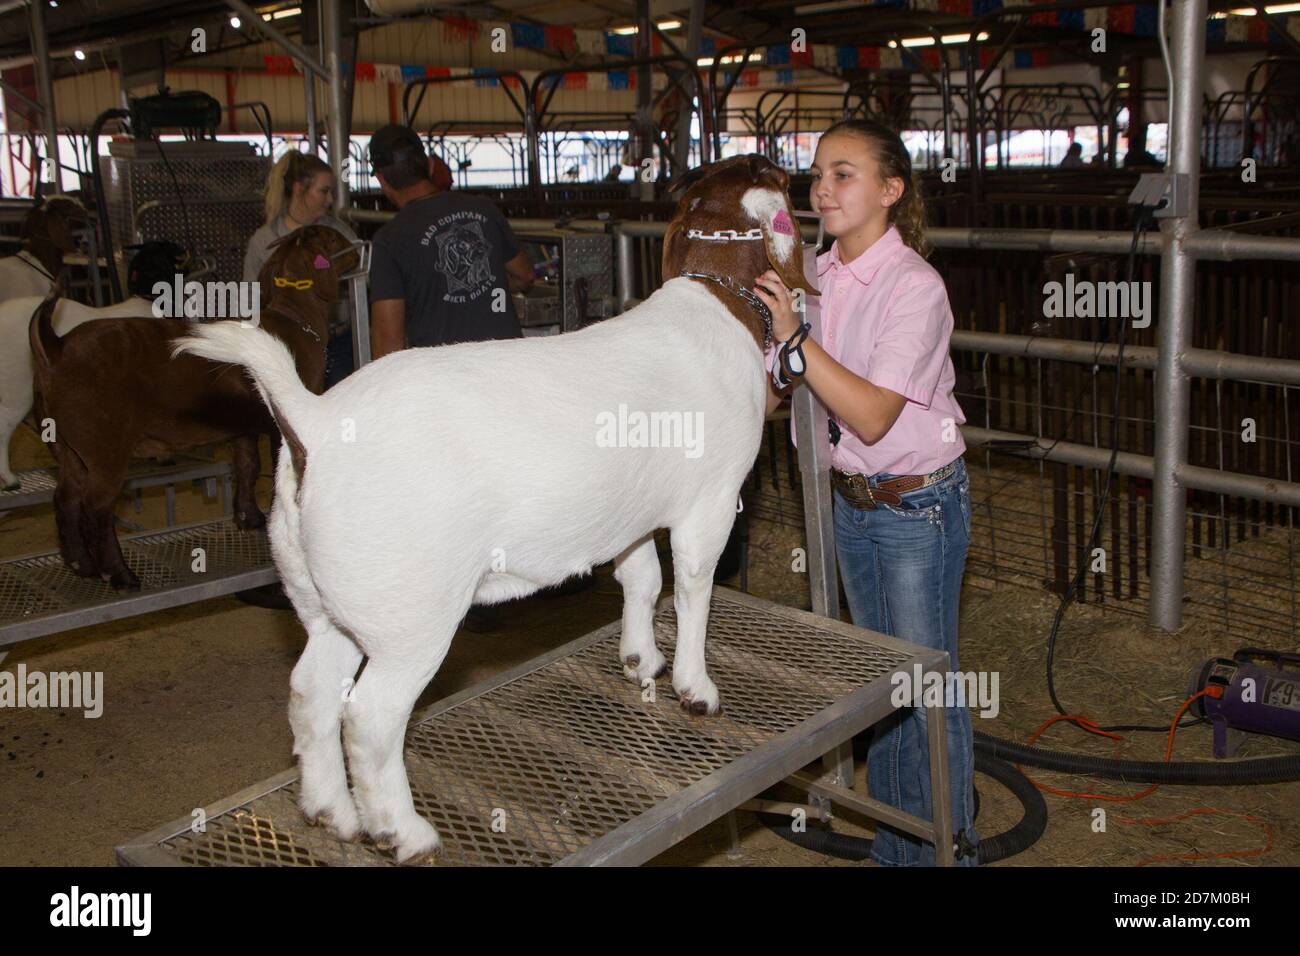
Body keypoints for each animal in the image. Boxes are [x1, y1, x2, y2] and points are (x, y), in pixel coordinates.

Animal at [29, 225, 359, 590]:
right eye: (334, 238)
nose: (358, 249)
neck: (292, 317)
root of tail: (56, 349)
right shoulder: (281, 424)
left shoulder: (243, 427)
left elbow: (247, 466)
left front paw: (248, 517)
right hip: (104, 450)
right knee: (96, 508)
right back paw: (119, 574)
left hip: (66, 447)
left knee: (66, 498)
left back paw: (80, 565)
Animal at [172, 154, 816, 864]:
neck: (716, 303)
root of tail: (312, 422)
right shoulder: (710, 500)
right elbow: (694, 588)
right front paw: (696, 689)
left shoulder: (627, 514)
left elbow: (641, 578)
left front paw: (639, 659)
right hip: (409, 616)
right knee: (368, 717)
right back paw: (403, 832)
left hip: (330, 602)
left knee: (312, 691)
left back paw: (331, 813)